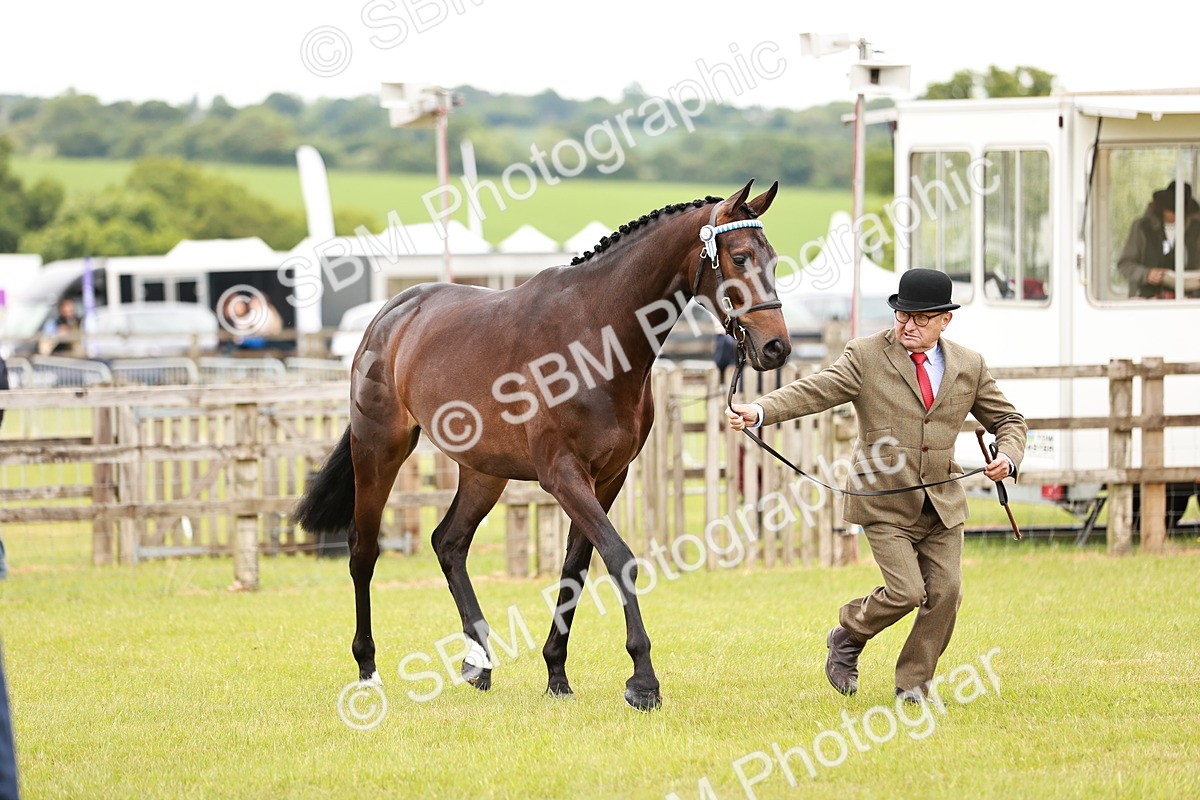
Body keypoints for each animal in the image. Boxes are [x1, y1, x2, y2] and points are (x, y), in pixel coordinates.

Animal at [293, 180, 791, 710]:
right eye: (739, 257)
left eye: (773, 259)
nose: (777, 347)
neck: (595, 337)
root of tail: (392, 314)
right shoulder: (563, 475)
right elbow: (619, 558)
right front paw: (643, 681)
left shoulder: (607, 478)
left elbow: (576, 567)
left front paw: (557, 674)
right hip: (378, 450)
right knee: (363, 551)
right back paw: (368, 669)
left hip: (483, 472)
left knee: (448, 543)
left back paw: (478, 663)